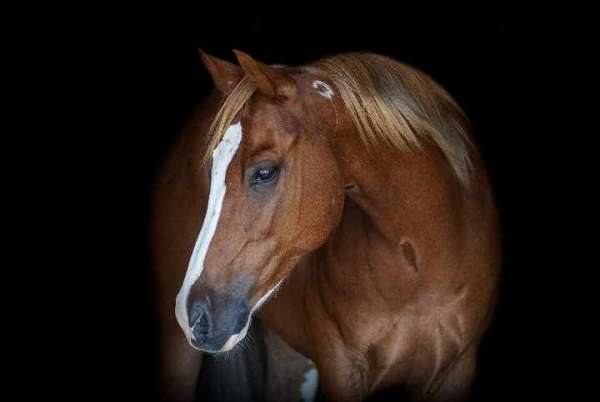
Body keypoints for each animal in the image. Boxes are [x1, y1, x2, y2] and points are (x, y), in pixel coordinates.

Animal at [152, 48, 500, 400]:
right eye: (211, 169)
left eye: (264, 171)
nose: (193, 314)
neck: (420, 270)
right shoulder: (341, 369)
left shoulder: (455, 370)